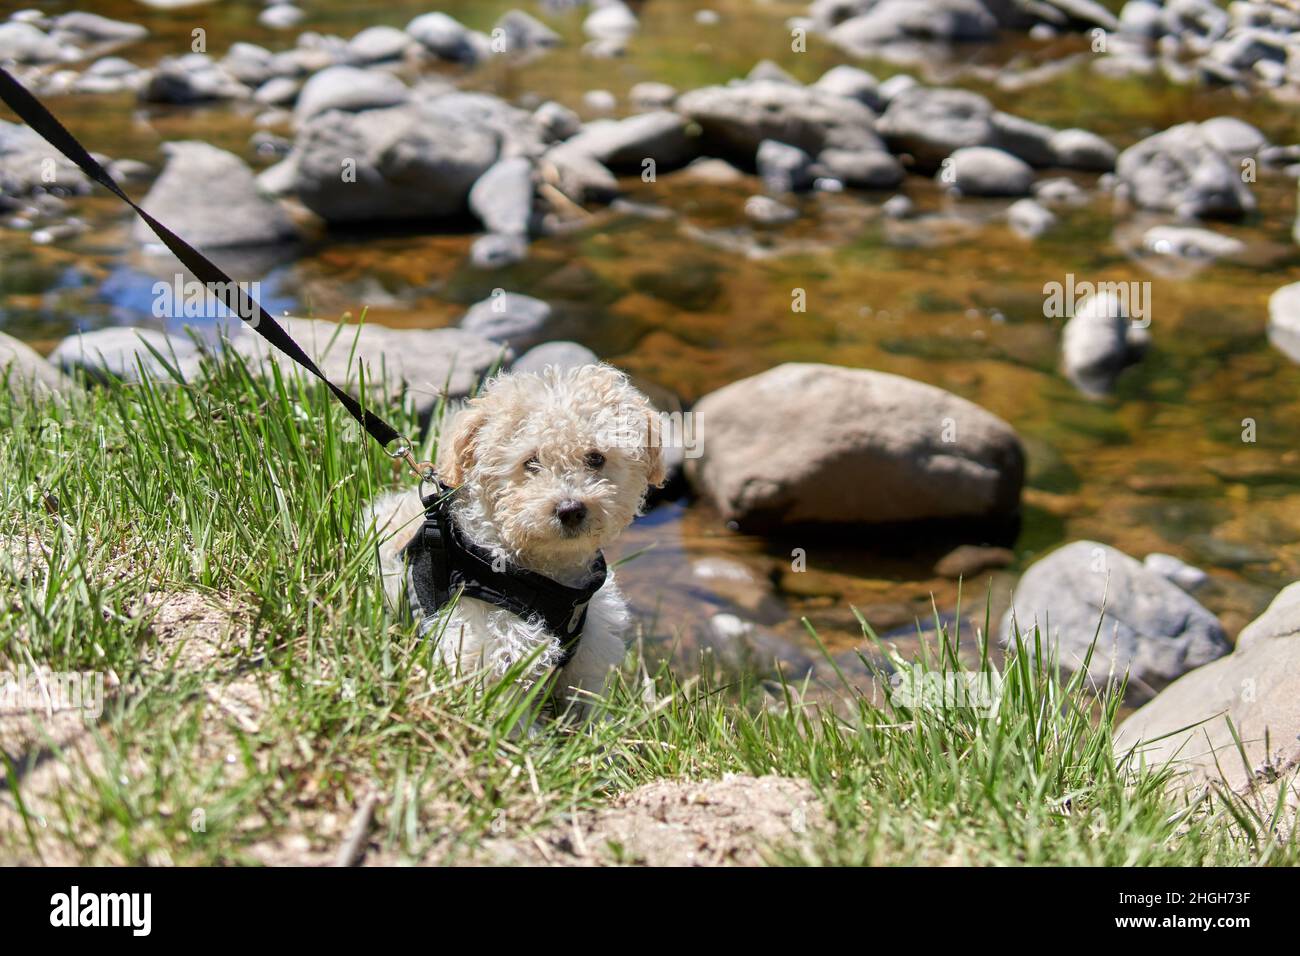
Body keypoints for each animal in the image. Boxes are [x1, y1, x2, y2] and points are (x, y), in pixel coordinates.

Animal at [371, 361, 665, 712]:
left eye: (596, 458)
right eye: (531, 462)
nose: (570, 509)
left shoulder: (588, 660)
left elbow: (587, 709)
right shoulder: (490, 655)